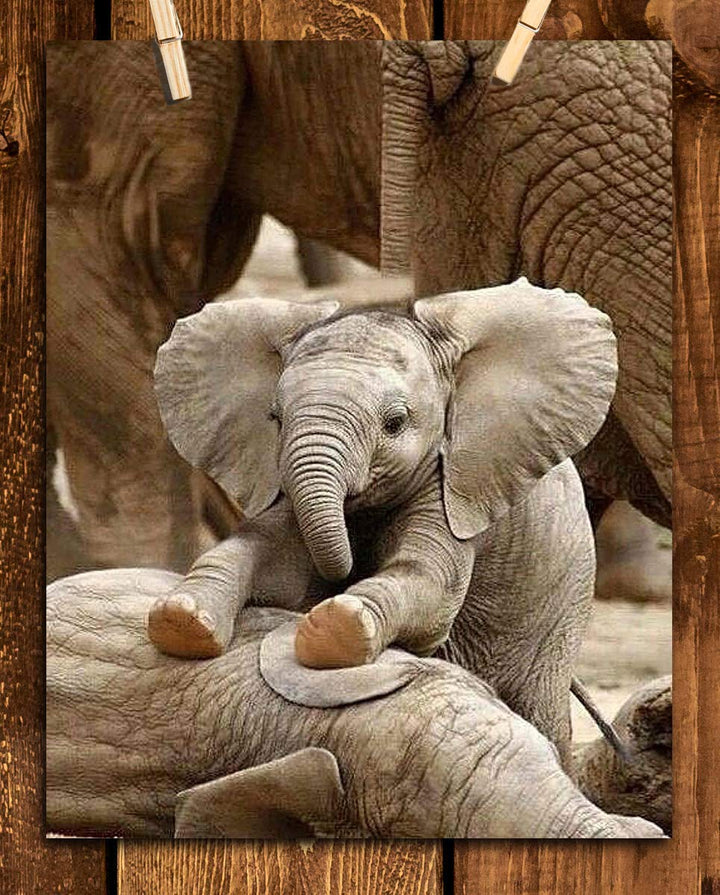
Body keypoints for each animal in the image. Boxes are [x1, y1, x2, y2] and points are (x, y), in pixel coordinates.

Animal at [146, 279, 617, 769]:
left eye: (395, 423)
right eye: (275, 419)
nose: (345, 572)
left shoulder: (452, 485)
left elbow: (428, 585)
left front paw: (333, 626)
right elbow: (268, 556)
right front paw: (180, 618)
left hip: (562, 602)